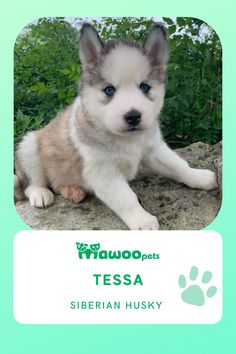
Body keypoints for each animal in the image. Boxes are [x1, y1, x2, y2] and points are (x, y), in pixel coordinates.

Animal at [14, 23, 218, 231]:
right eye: (109, 90)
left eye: (144, 87)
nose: (133, 116)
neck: (128, 139)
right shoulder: (103, 172)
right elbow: (127, 199)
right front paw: (143, 220)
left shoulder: (153, 149)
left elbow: (178, 165)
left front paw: (199, 176)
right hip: (29, 146)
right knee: (29, 184)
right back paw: (41, 193)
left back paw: (73, 190)